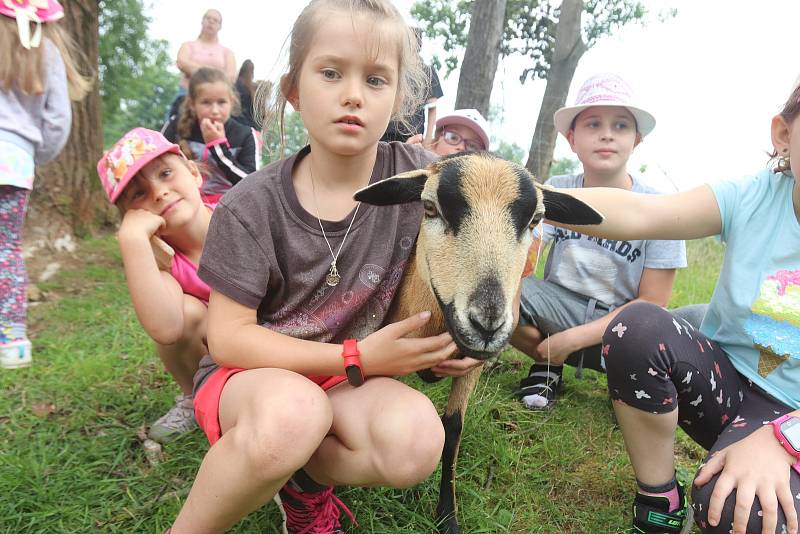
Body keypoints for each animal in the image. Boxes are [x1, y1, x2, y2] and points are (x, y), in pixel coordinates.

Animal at [356, 153, 600, 532]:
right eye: (429, 207)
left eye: (536, 219)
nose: (487, 324)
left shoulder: (472, 367)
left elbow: (453, 429)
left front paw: (447, 517)